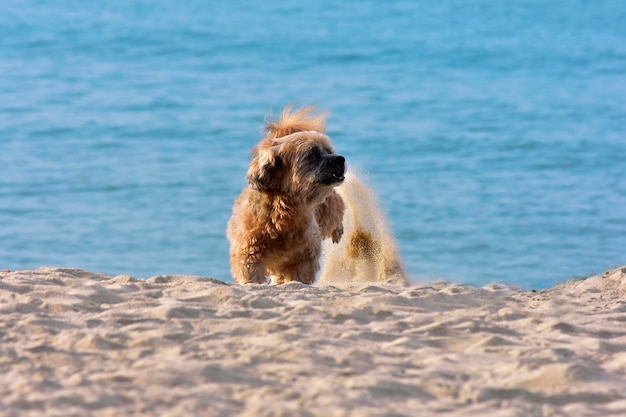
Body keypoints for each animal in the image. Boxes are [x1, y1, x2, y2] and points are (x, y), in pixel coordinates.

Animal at [225, 105, 344, 284]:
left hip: (329, 208)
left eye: (329, 151)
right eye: (311, 155)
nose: (340, 159)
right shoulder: (249, 254)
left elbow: (299, 276)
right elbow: (251, 274)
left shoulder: (304, 258)